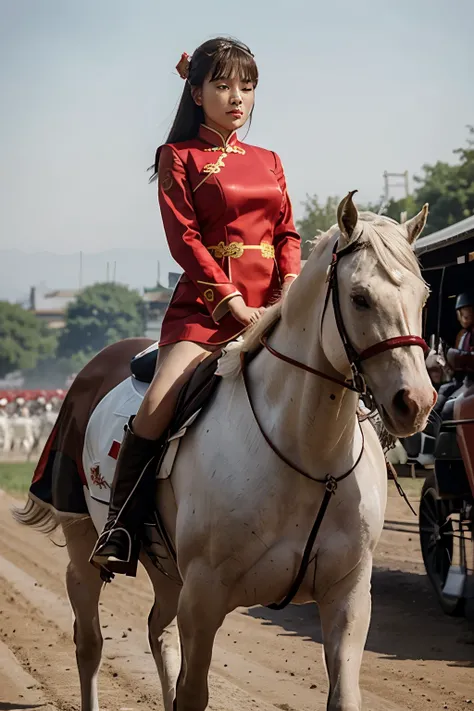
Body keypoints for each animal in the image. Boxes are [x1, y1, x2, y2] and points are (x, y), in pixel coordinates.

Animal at [13, 192, 436, 708]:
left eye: (423, 296)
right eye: (360, 298)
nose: (415, 402)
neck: (307, 457)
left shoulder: (348, 597)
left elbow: (343, 695)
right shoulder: (203, 599)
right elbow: (192, 692)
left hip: (166, 570)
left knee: (157, 631)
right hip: (83, 545)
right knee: (89, 640)